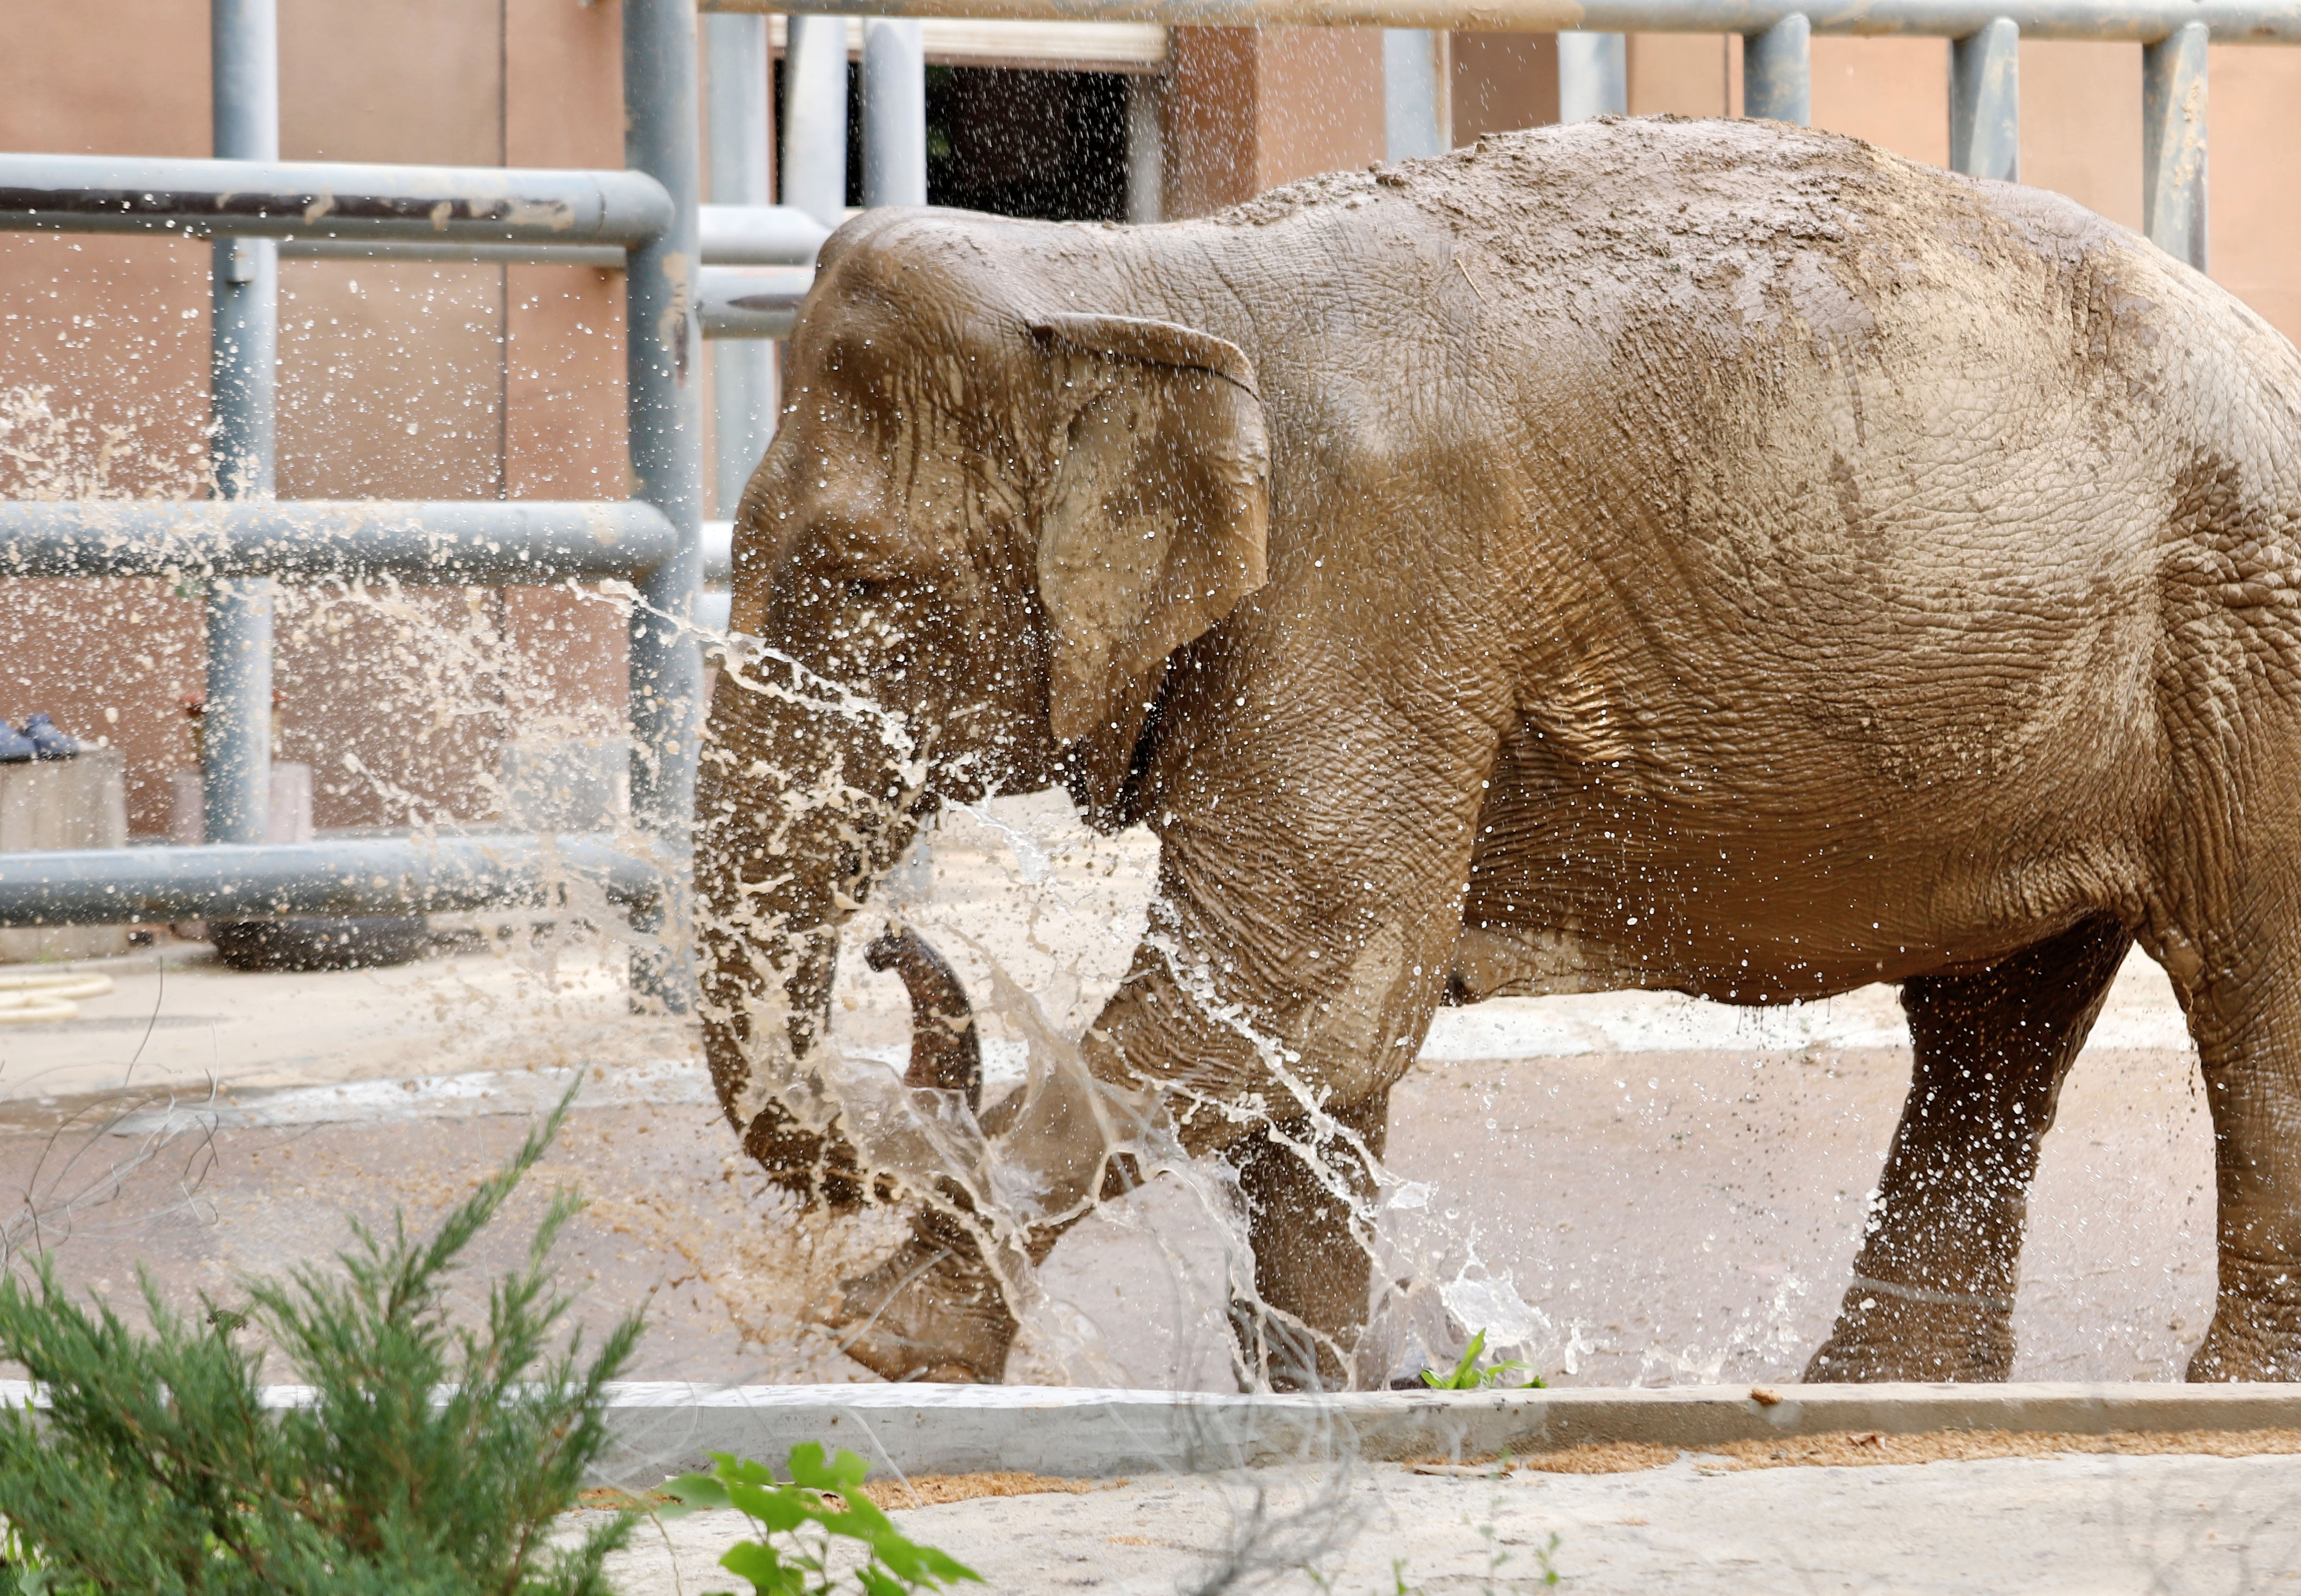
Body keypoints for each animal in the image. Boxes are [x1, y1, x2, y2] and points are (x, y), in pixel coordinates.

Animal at [690, 112, 2301, 1398]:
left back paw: (2226, 1390)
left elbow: (1303, 976)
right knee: (1991, 1023)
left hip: (2249, 644)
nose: (898, 944)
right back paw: (1879, 1386)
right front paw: (1317, 1396)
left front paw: (881, 1339)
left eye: (862, 585)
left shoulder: (1373, 579)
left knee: (2242, 985)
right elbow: (1320, 1031)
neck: (1142, 276)